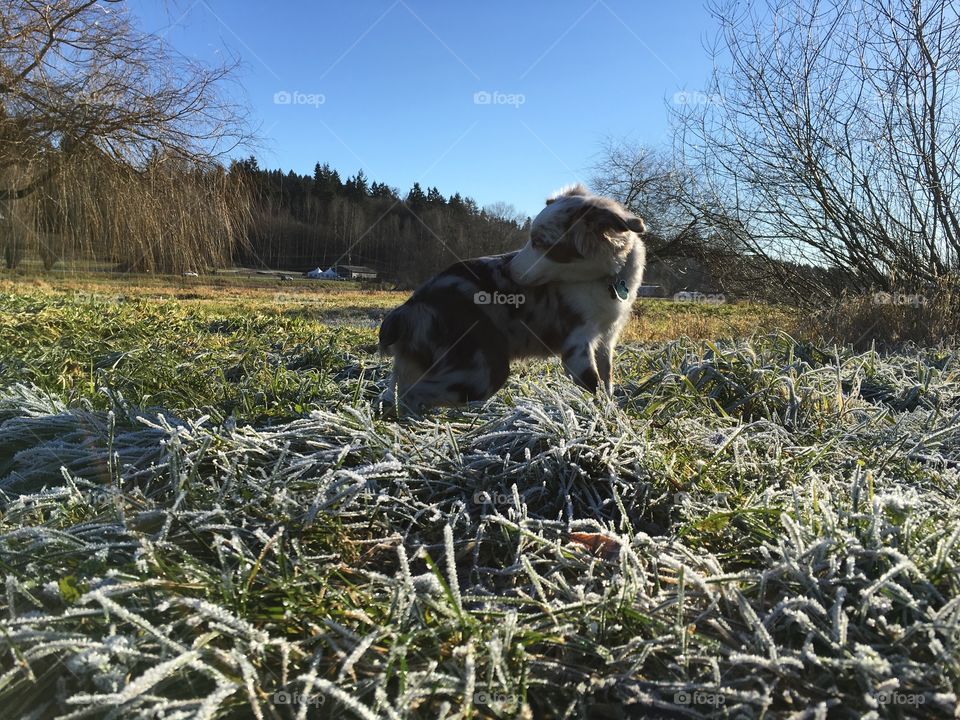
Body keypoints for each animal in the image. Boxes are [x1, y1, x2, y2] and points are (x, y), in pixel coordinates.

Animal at [378, 183, 648, 410]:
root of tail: (410, 307)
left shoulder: (607, 335)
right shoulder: (577, 345)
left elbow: (607, 379)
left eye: (540, 243)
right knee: (413, 393)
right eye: (530, 239)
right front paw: (607, 418)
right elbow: (594, 386)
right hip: (482, 368)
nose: (507, 271)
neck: (607, 277)